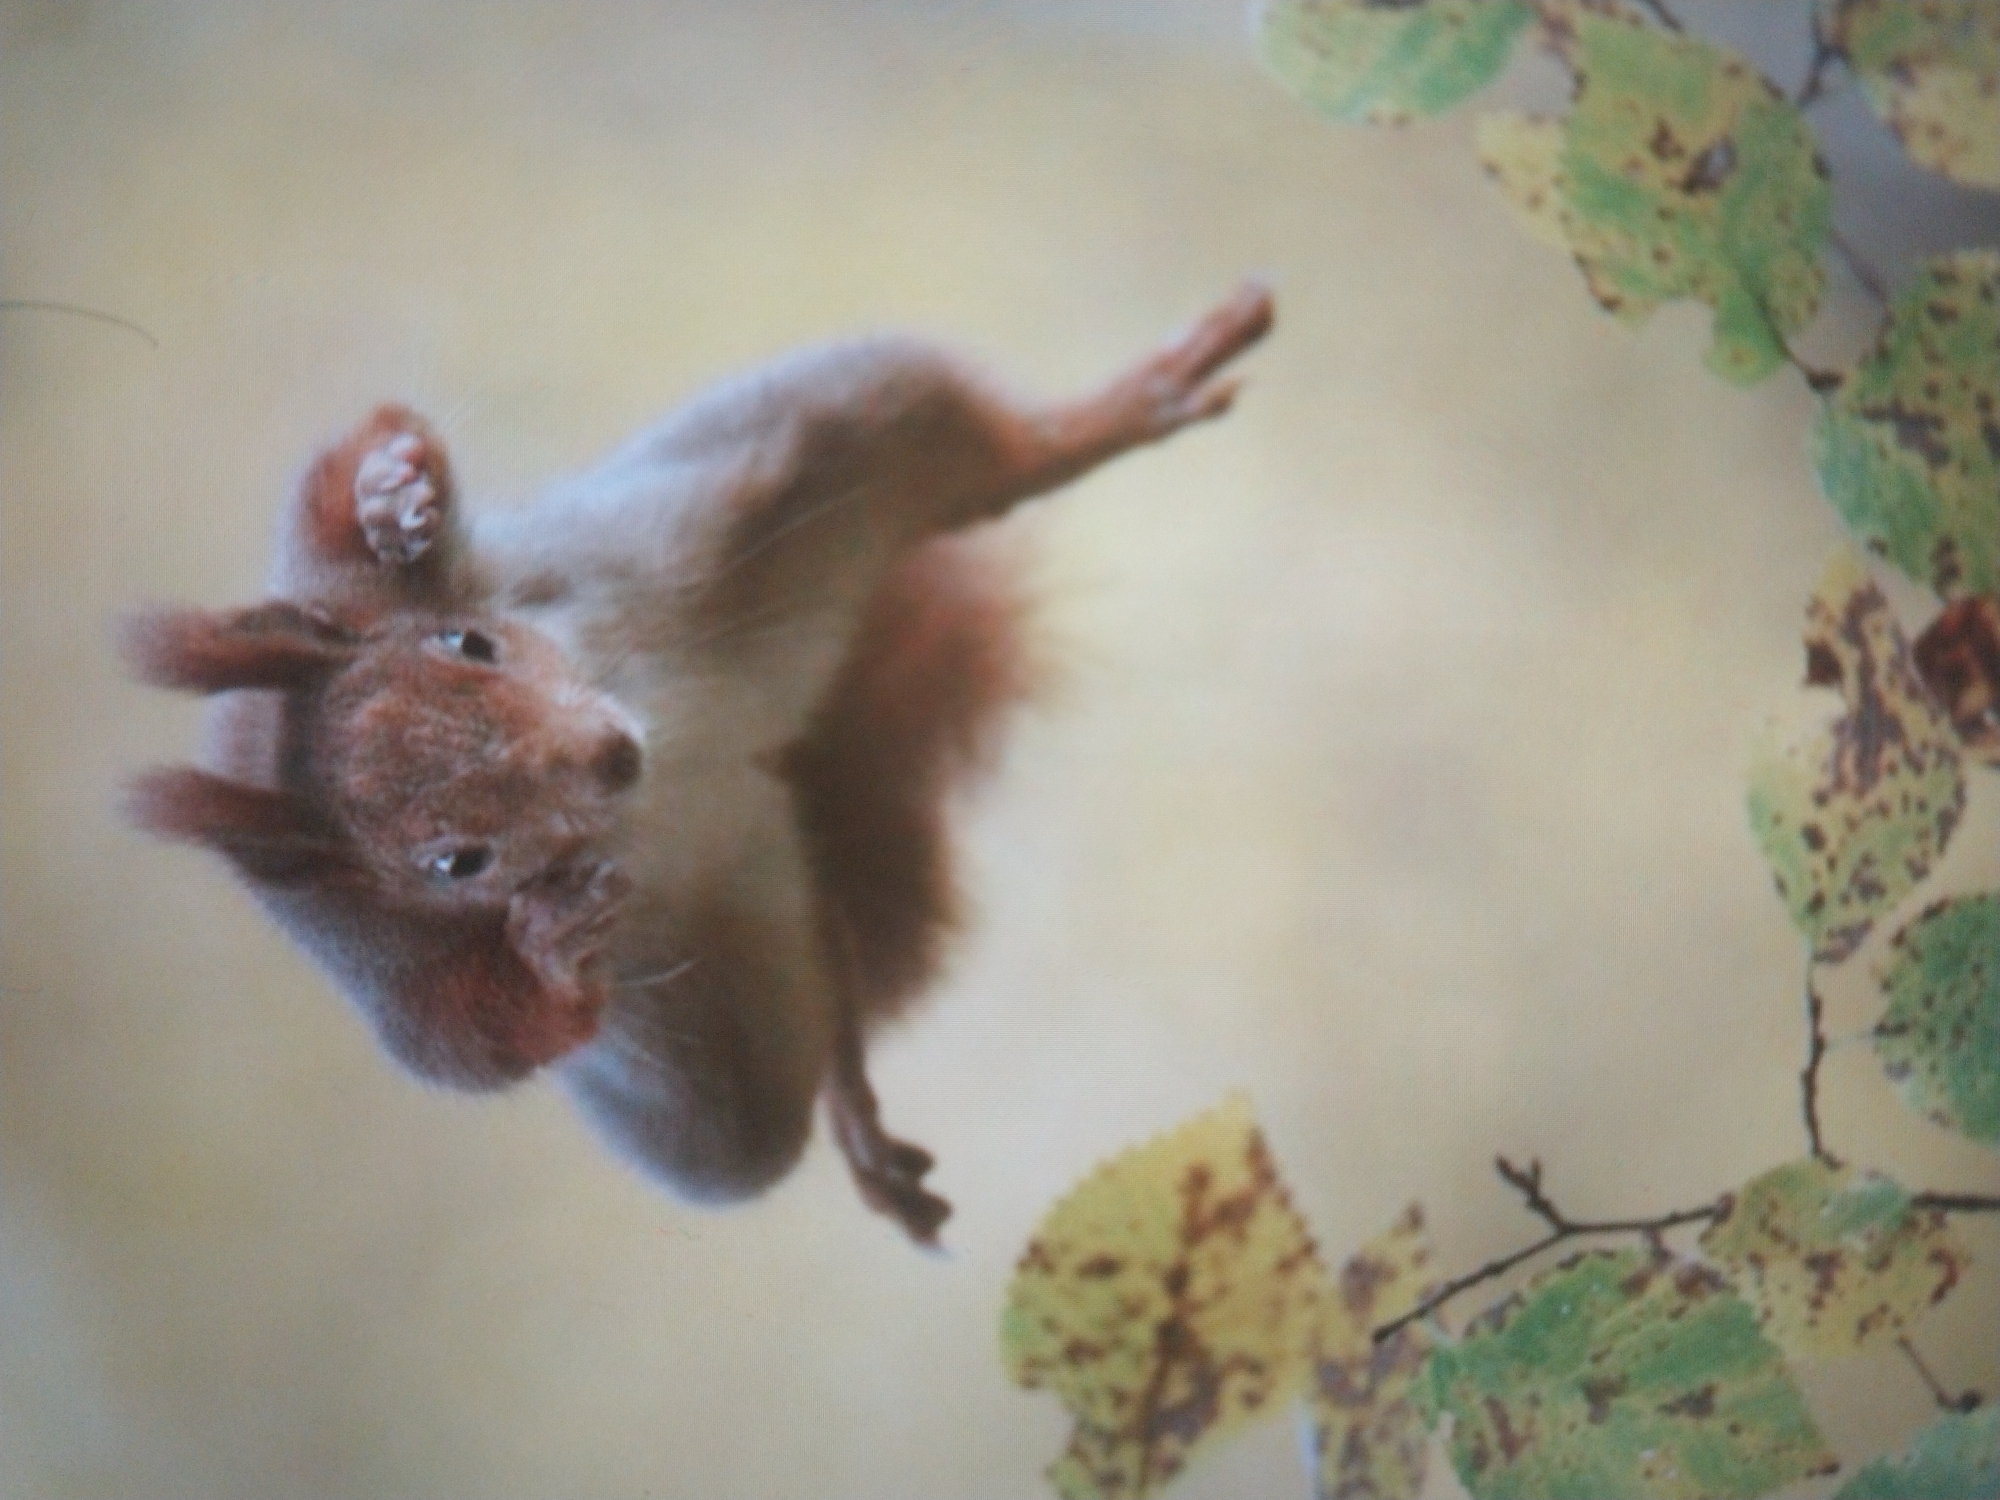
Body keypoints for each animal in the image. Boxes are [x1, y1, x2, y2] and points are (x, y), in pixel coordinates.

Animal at [122, 283, 1274, 1244]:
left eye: (470, 643)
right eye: (456, 863)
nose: (610, 755)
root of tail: (784, 757)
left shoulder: (346, 603)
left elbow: (339, 492)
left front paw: (388, 498)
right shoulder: (392, 973)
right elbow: (471, 1050)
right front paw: (546, 947)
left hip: (776, 450)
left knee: (993, 458)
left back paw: (1137, 399)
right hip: (720, 1038)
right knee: (787, 1058)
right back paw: (846, 1077)